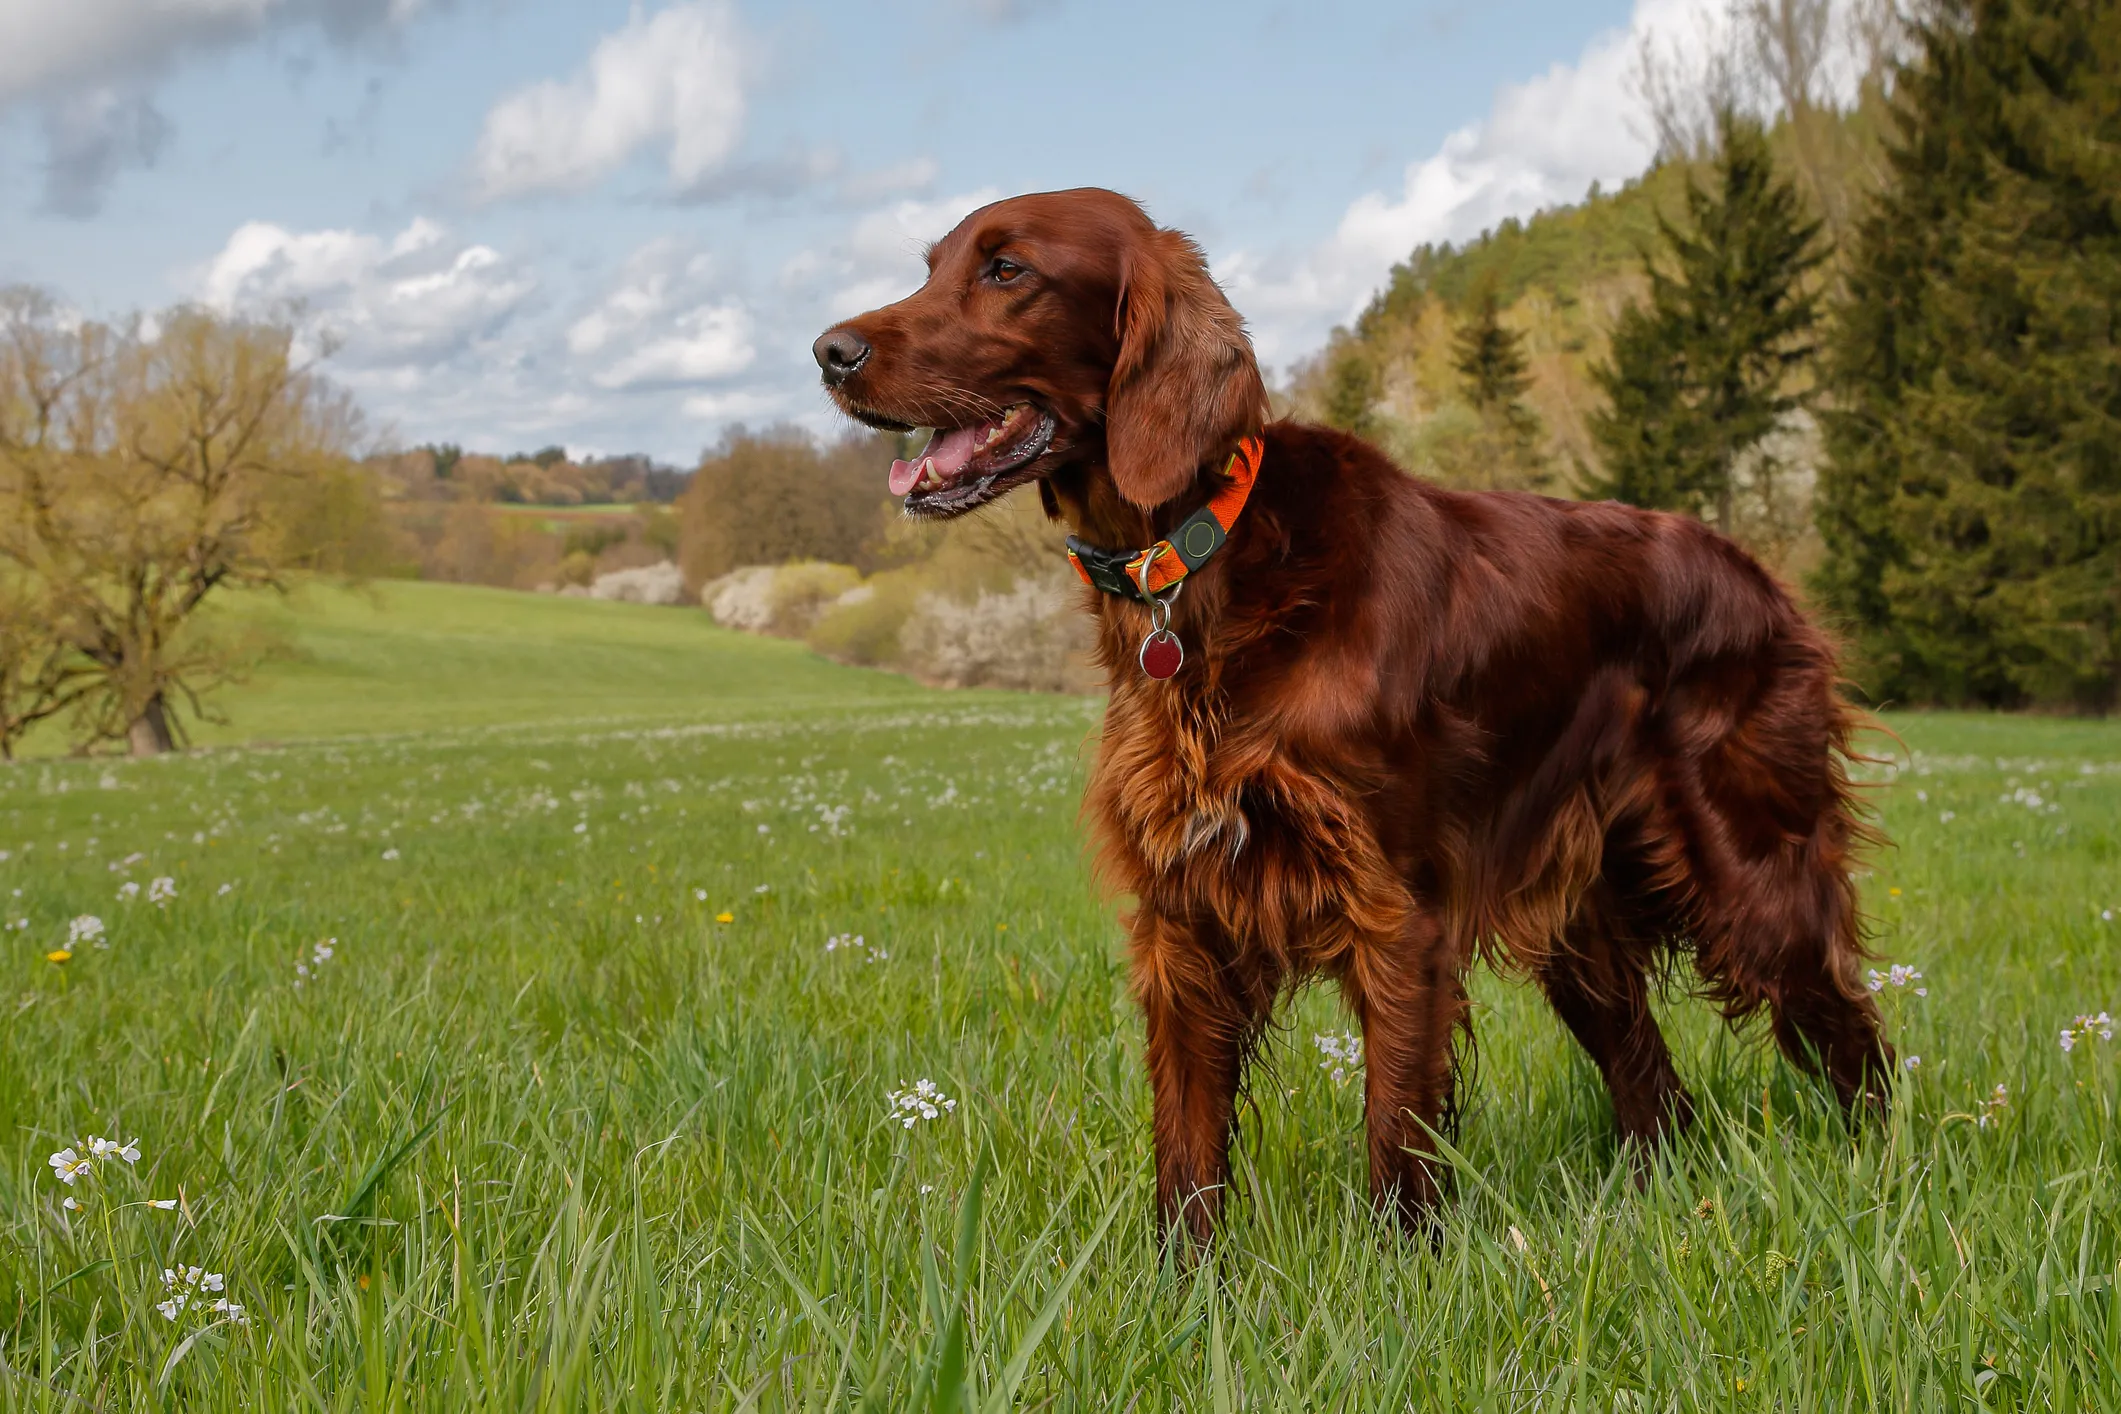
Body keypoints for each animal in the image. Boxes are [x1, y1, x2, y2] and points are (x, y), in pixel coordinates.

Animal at [810, 190, 1891, 1246]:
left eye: (1008, 269)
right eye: (932, 268)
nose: (828, 351)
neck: (1205, 561)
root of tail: (1761, 576)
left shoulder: (1394, 909)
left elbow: (1393, 1137)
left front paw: (1398, 1273)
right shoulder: (1181, 916)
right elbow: (1187, 1155)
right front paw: (1186, 1287)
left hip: (1750, 874)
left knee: (1852, 1036)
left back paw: (1876, 1182)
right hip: (1575, 920)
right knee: (1655, 1085)